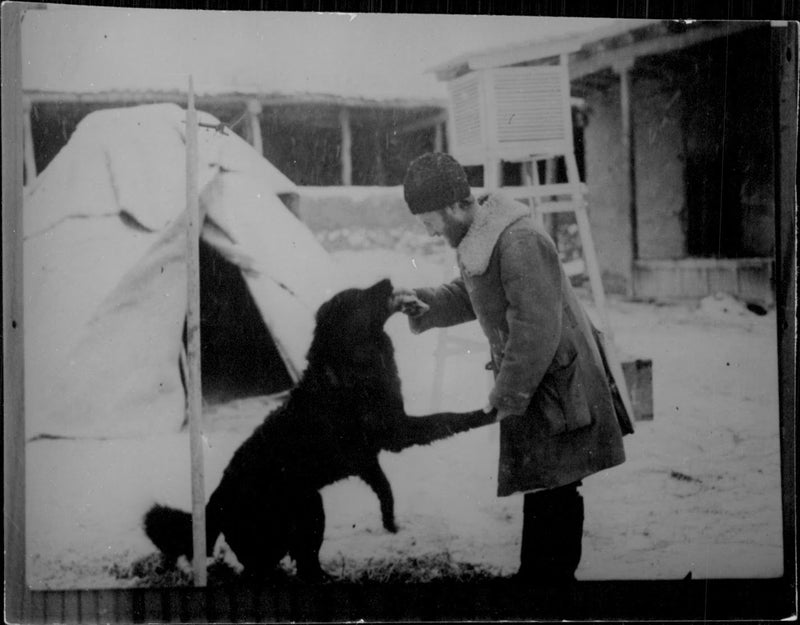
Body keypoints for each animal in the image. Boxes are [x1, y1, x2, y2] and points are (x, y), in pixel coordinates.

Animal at [144, 278, 494, 580]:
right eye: (358, 298)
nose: (388, 281)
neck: (351, 362)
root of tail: (214, 501)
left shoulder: (368, 458)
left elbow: (384, 488)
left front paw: (390, 522)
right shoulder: (394, 434)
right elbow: (448, 418)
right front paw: (487, 413)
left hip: (301, 516)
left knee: (297, 563)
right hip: (304, 510)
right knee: (277, 567)